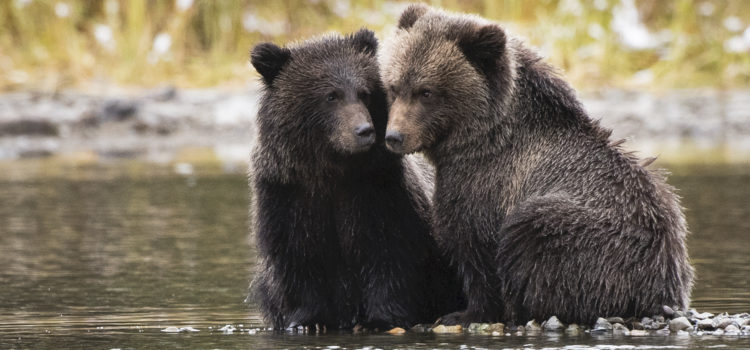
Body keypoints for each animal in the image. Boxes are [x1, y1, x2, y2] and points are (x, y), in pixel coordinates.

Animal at [250, 28, 462, 330]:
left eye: (364, 93)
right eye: (331, 96)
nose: (364, 130)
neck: (332, 170)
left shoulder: (376, 189)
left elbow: (388, 253)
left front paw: (380, 319)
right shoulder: (287, 195)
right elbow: (299, 258)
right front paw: (308, 321)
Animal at [384, 4, 696, 326]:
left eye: (426, 92)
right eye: (394, 86)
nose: (394, 136)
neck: (483, 137)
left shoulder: (486, 181)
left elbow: (475, 245)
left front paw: (464, 313)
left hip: (588, 237)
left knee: (536, 233)